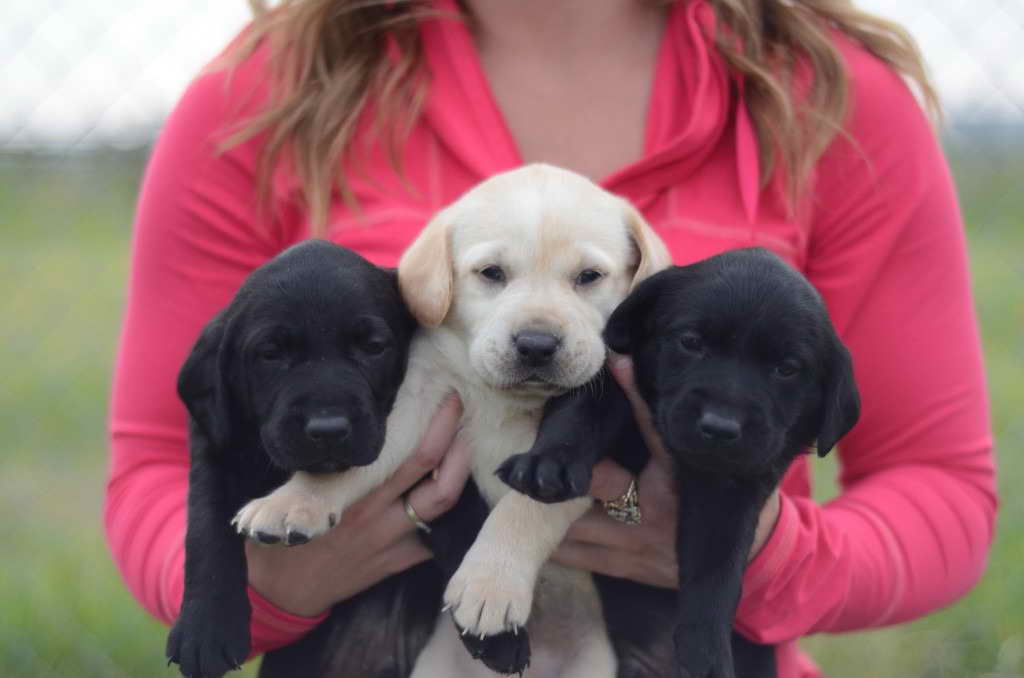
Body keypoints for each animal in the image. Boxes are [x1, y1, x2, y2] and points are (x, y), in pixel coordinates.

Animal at [163, 240, 415, 678]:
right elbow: (205, 526)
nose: (328, 429)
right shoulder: (213, 446)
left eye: (372, 347)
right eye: (271, 353)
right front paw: (205, 628)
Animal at [499, 249, 860, 678]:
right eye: (691, 342)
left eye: (786, 368)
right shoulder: (618, 377)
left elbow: (717, 571)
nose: (720, 427)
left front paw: (706, 656)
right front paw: (549, 464)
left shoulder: (732, 490)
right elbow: (583, 408)